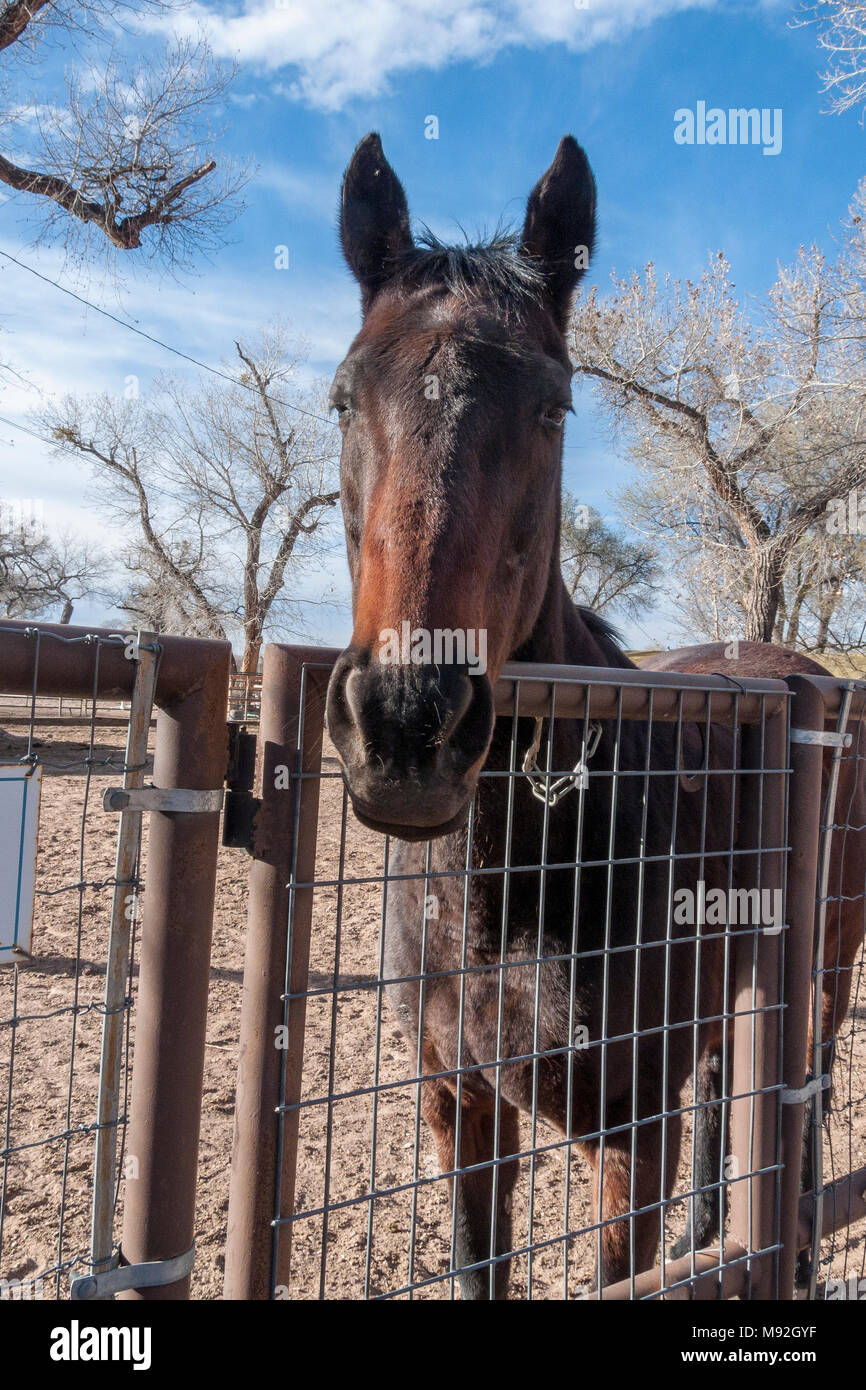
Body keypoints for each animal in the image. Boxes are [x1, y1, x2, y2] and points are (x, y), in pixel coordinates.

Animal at [324, 132, 864, 1298]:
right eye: (344, 397)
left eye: (555, 408)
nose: (406, 728)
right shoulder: (459, 1108)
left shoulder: (625, 1141)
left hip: (826, 970)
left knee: (801, 1101)